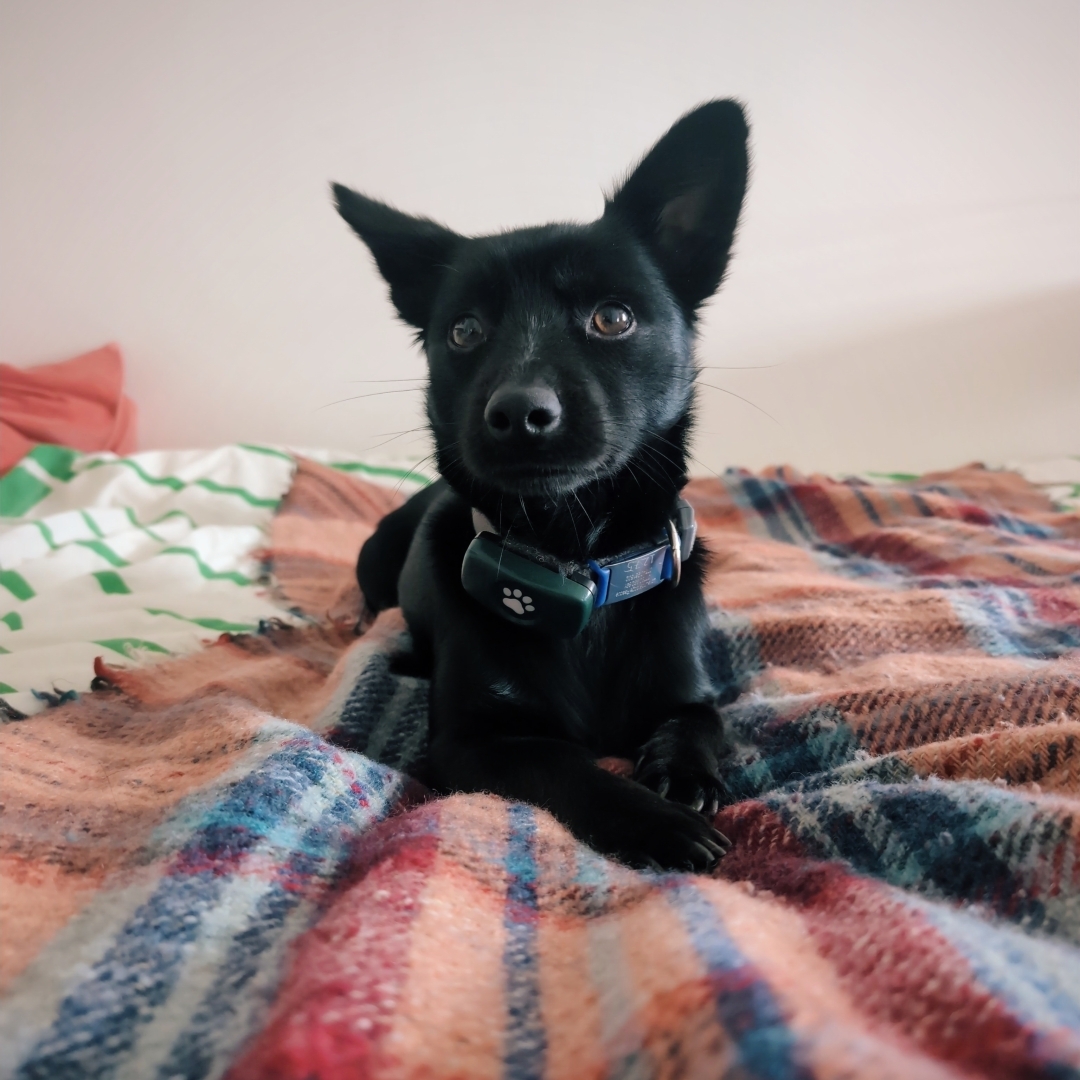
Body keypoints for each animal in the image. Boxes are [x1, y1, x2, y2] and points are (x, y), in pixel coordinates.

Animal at [332, 101, 747, 872]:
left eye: (613, 317)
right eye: (464, 331)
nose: (519, 414)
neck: (574, 557)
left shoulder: (689, 691)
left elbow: (700, 722)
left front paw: (682, 775)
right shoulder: (472, 745)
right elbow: (567, 765)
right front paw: (658, 823)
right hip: (373, 559)